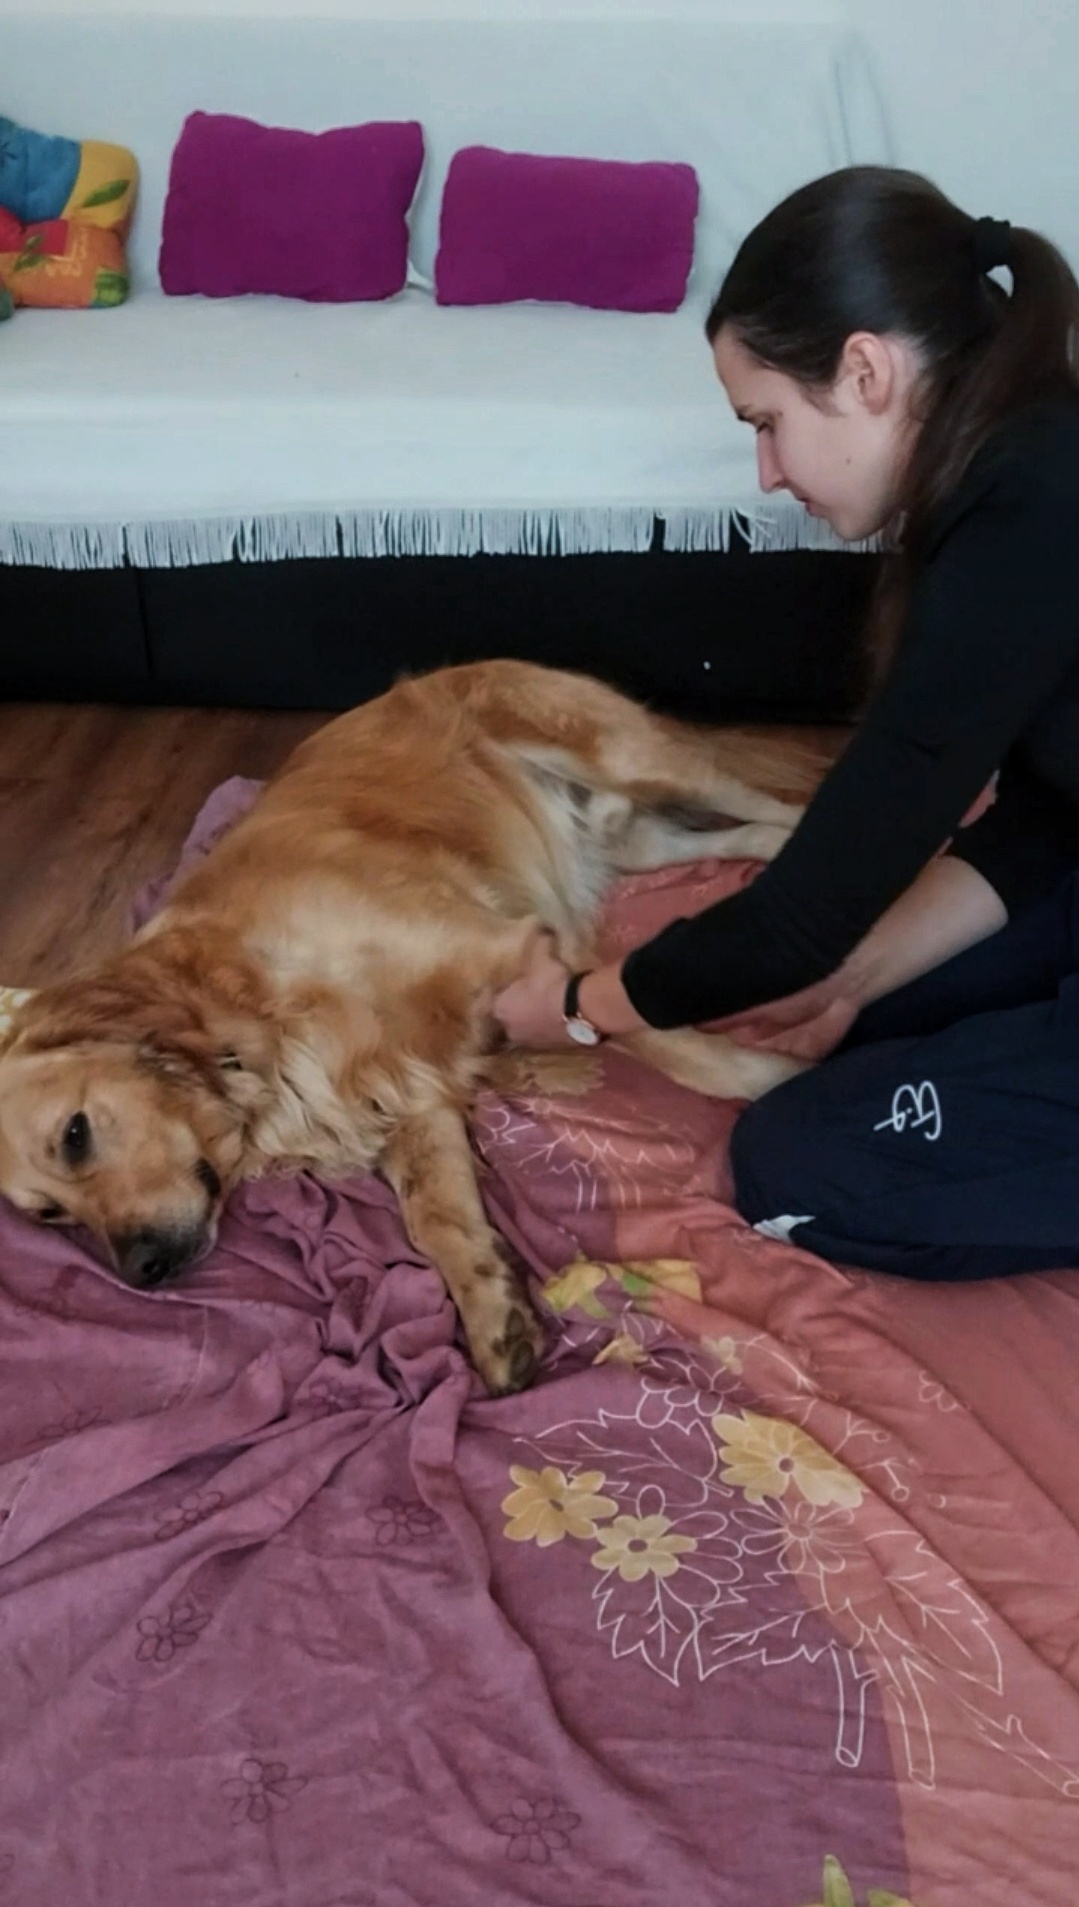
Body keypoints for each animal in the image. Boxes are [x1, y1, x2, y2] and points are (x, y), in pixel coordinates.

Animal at [0, 660, 816, 1393]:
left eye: (75, 1134)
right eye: (52, 1214)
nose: (142, 1271)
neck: (253, 1018)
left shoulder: (517, 951)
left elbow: (665, 1045)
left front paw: (785, 1080)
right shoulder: (404, 1091)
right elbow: (435, 1216)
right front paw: (492, 1310)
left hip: (637, 761)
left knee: (780, 801)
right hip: (630, 838)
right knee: (741, 835)